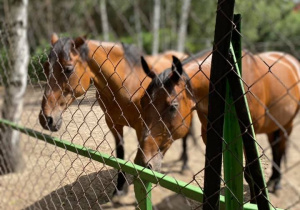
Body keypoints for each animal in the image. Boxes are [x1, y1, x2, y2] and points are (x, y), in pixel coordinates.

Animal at [37, 33, 191, 197]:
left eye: (68, 69)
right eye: (46, 67)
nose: (46, 119)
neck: (126, 82)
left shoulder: (142, 127)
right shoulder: (113, 124)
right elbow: (120, 155)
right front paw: (119, 190)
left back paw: (184, 165)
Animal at [140, 50, 300, 194]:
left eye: (173, 106)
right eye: (142, 102)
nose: (144, 162)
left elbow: (250, 176)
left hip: (287, 125)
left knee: (280, 151)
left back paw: (277, 184)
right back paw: (273, 180)